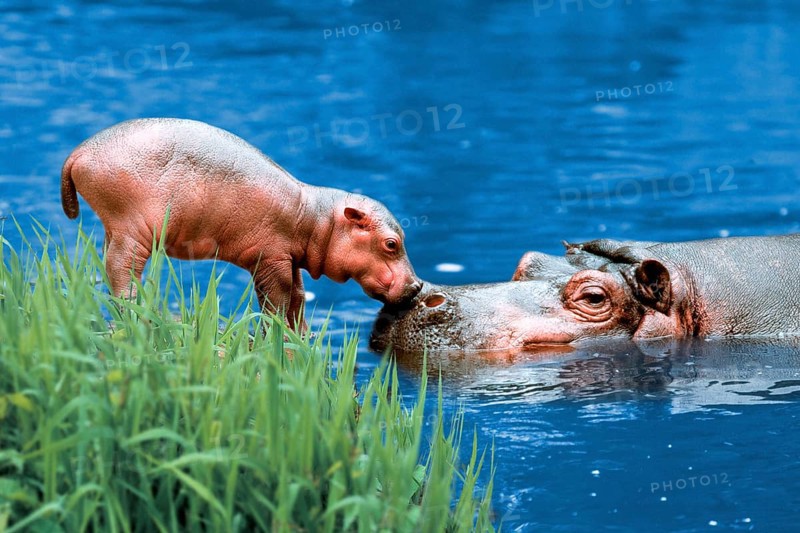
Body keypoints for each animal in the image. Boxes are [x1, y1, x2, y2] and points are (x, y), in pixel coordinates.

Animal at [61, 118, 421, 327]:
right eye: (391, 243)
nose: (418, 285)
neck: (316, 218)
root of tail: (77, 151)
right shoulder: (272, 261)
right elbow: (277, 300)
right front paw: (277, 337)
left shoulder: (288, 261)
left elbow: (297, 299)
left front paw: (300, 339)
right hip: (131, 229)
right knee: (122, 271)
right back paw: (140, 311)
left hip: (115, 228)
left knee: (110, 265)